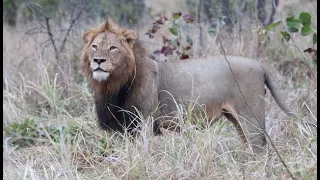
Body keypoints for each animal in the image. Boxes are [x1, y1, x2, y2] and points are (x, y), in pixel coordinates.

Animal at [80, 17, 296, 153]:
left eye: (112, 48)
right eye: (94, 47)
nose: (98, 60)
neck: (112, 85)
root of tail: (260, 65)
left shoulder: (144, 123)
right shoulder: (123, 127)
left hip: (251, 116)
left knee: (260, 147)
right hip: (236, 119)